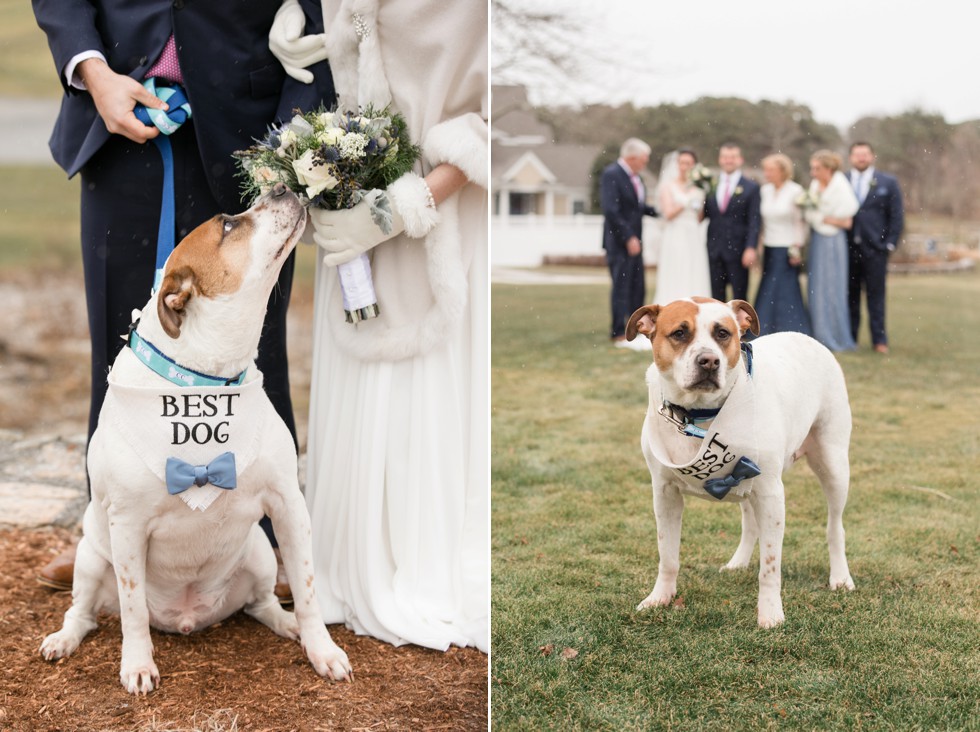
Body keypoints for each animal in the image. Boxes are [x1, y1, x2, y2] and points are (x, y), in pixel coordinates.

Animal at [40, 183, 352, 692]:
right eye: (227, 224)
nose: (282, 186)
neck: (205, 380)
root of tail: (186, 616)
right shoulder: (127, 527)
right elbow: (131, 609)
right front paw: (137, 664)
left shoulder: (288, 505)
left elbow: (307, 589)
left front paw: (321, 649)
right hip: (90, 558)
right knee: (83, 613)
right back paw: (63, 639)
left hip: (260, 552)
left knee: (263, 603)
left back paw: (287, 626)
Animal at [628, 298, 848, 628]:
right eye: (679, 333)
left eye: (723, 333)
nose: (708, 361)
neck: (699, 417)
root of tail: (807, 338)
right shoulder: (664, 493)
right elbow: (667, 554)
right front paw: (660, 598)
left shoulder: (771, 494)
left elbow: (770, 565)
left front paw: (770, 613)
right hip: (744, 480)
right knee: (750, 523)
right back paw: (738, 563)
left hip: (833, 466)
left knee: (835, 526)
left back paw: (841, 577)